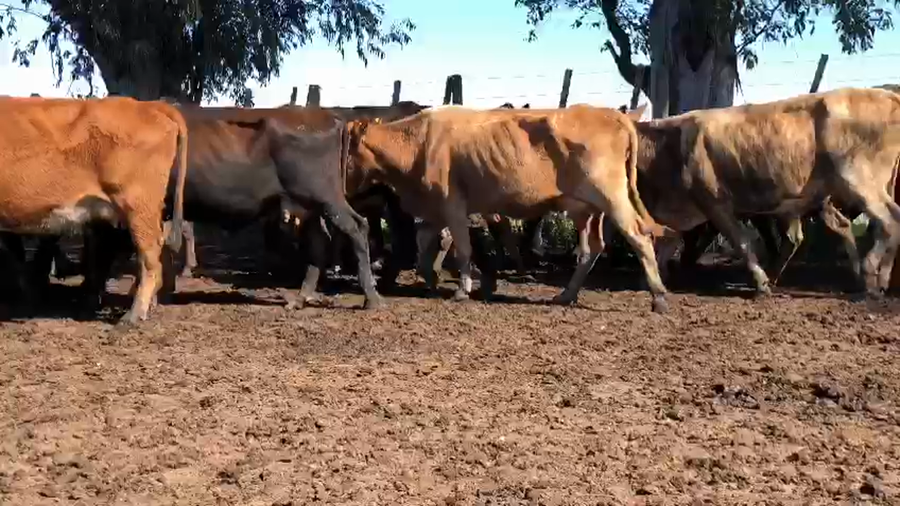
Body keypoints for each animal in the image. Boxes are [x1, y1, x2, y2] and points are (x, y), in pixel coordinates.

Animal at [346, 103, 672, 313]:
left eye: (345, 152)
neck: (418, 144)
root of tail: (613, 114)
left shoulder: (453, 205)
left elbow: (462, 248)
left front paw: (461, 290)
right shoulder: (435, 208)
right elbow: (425, 240)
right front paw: (430, 279)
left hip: (612, 196)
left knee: (639, 237)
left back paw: (658, 298)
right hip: (587, 209)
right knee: (591, 249)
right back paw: (566, 295)